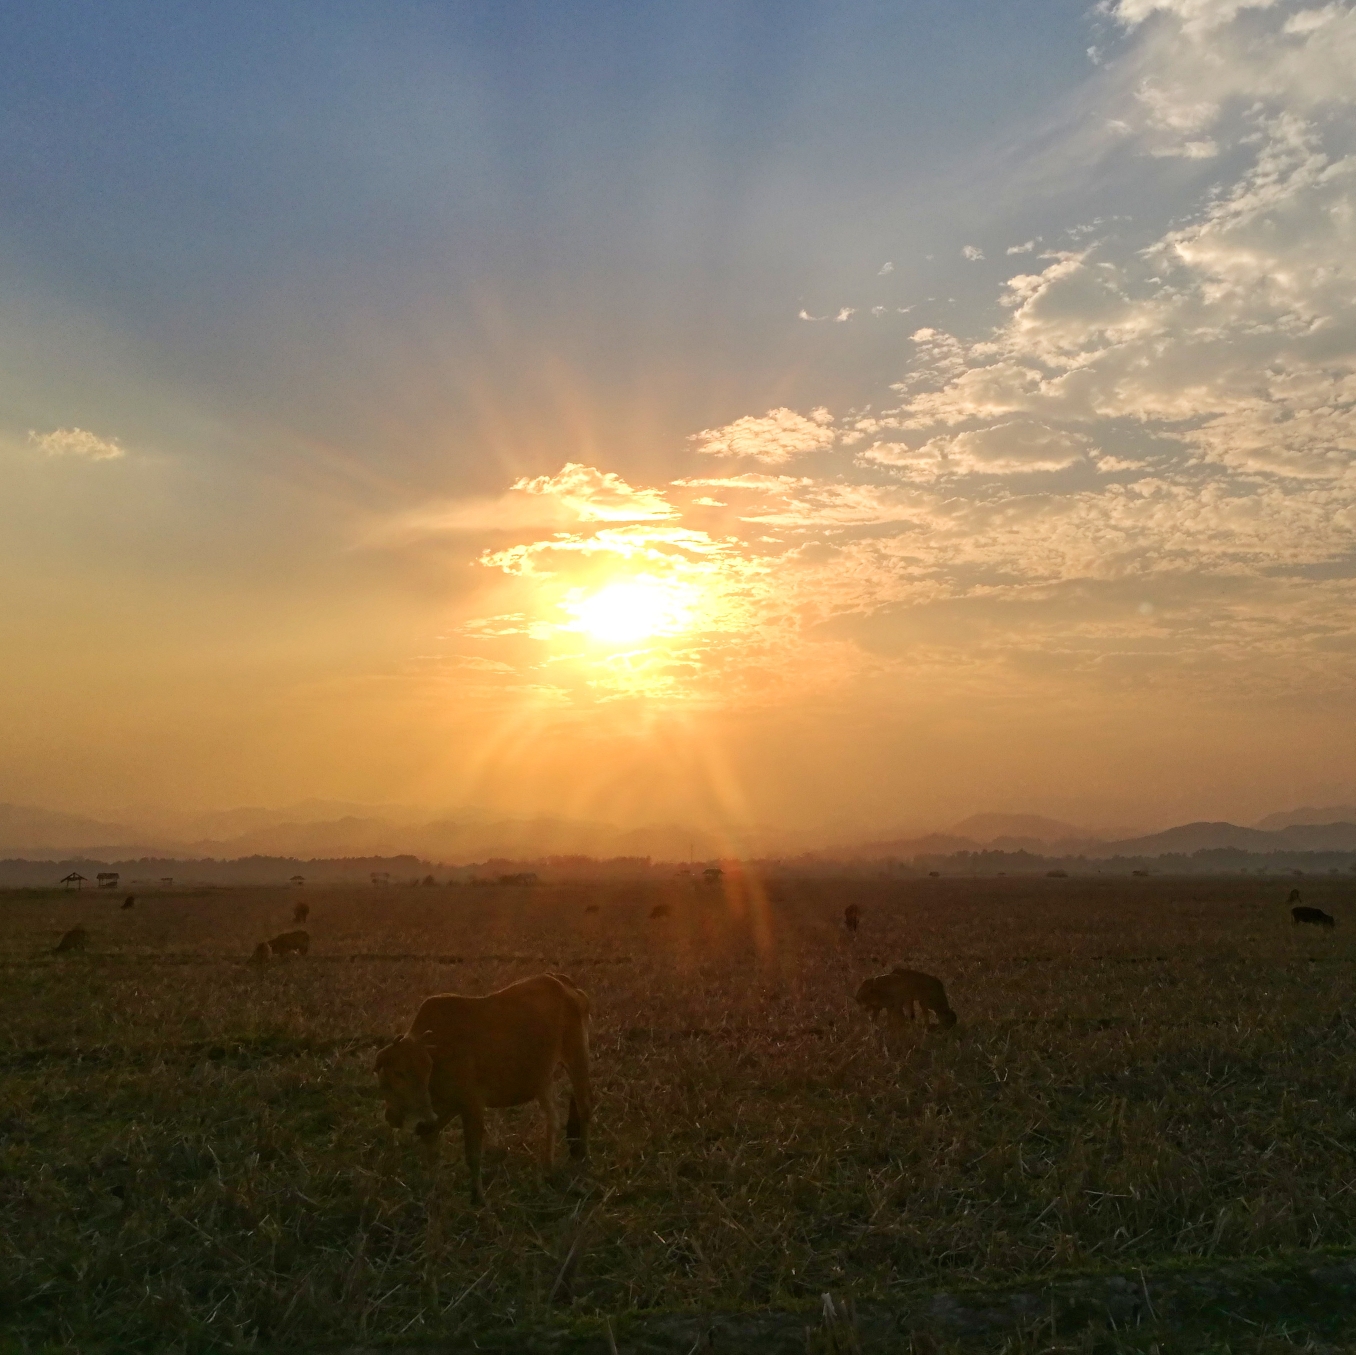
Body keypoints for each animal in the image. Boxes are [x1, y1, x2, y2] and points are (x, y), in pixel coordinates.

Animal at [374, 971, 591, 1204]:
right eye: (398, 1072)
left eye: (427, 1069)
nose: (392, 1116)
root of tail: (563, 982)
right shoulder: (438, 1115)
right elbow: (431, 1148)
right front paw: (433, 1188)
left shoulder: (472, 1105)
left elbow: (473, 1155)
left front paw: (478, 1197)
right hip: (542, 1080)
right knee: (553, 1118)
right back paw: (548, 1170)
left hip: (577, 1059)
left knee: (584, 1109)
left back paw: (583, 1158)